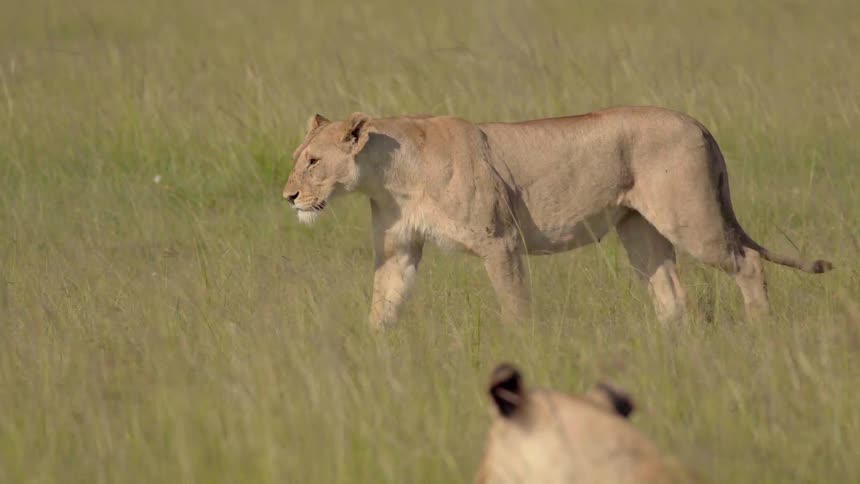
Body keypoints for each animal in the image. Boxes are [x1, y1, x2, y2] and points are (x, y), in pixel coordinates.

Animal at [283, 107, 832, 328]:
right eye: (297, 157)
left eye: (312, 161)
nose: (288, 196)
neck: (391, 179)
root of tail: (698, 122)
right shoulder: (398, 249)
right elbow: (383, 306)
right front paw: (371, 361)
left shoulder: (500, 241)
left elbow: (514, 305)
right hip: (640, 232)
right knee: (672, 295)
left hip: (692, 221)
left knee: (748, 263)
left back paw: (759, 330)